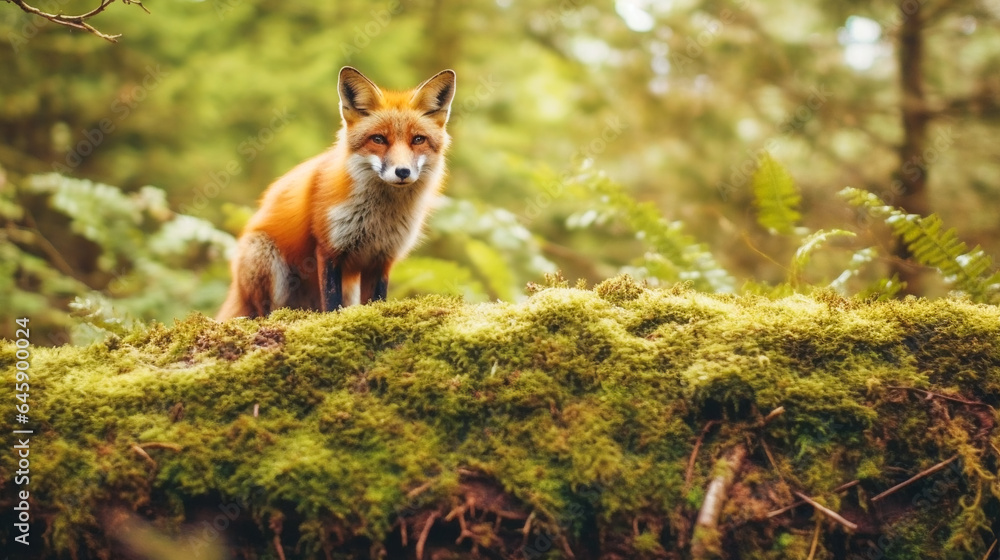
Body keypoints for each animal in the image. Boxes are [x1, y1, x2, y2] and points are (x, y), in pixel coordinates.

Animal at [216, 66, 456, 320]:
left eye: (418, 139)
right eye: (378, 139)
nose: (402, 171)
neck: (379, 219)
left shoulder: (382, 258)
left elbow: (376, 301)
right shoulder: (328, 249)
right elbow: (332, 302)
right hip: (264, 257)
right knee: (263, 312)